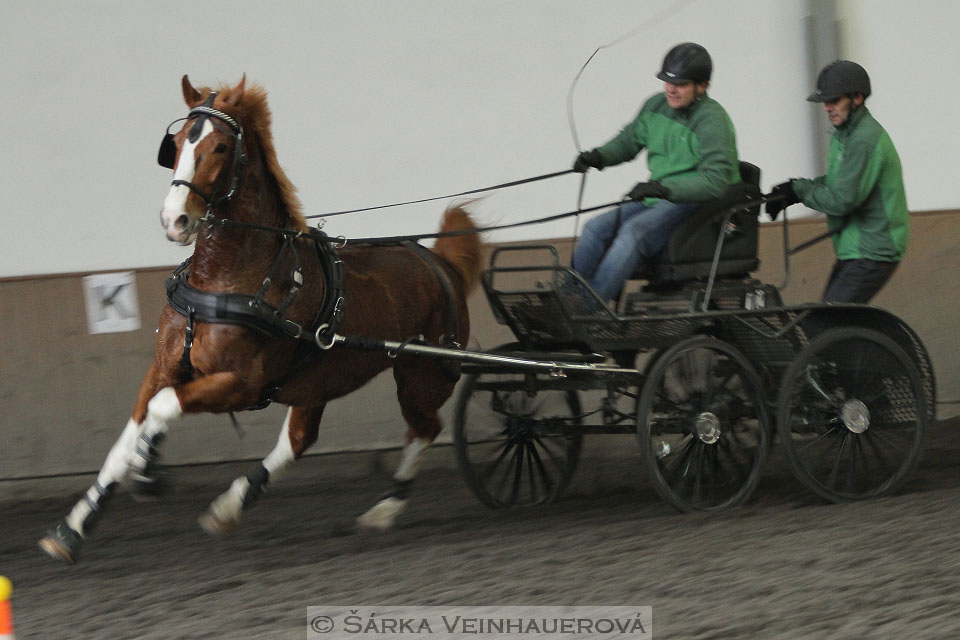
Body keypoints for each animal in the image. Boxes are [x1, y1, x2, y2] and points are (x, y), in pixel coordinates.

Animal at [41, 76, 484, 564]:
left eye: (219, 146)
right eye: (176, 143)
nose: (174, 220)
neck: (227, 279)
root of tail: (439, 261)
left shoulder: (241, 384)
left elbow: (162, 408)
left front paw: (147, 469)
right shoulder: (163, 367)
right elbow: (127, 438)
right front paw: (75, 525)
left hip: (421, 375)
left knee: (426, 428)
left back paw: (384, 509)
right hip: (318, 379)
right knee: (300, 439)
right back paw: (230, 506)